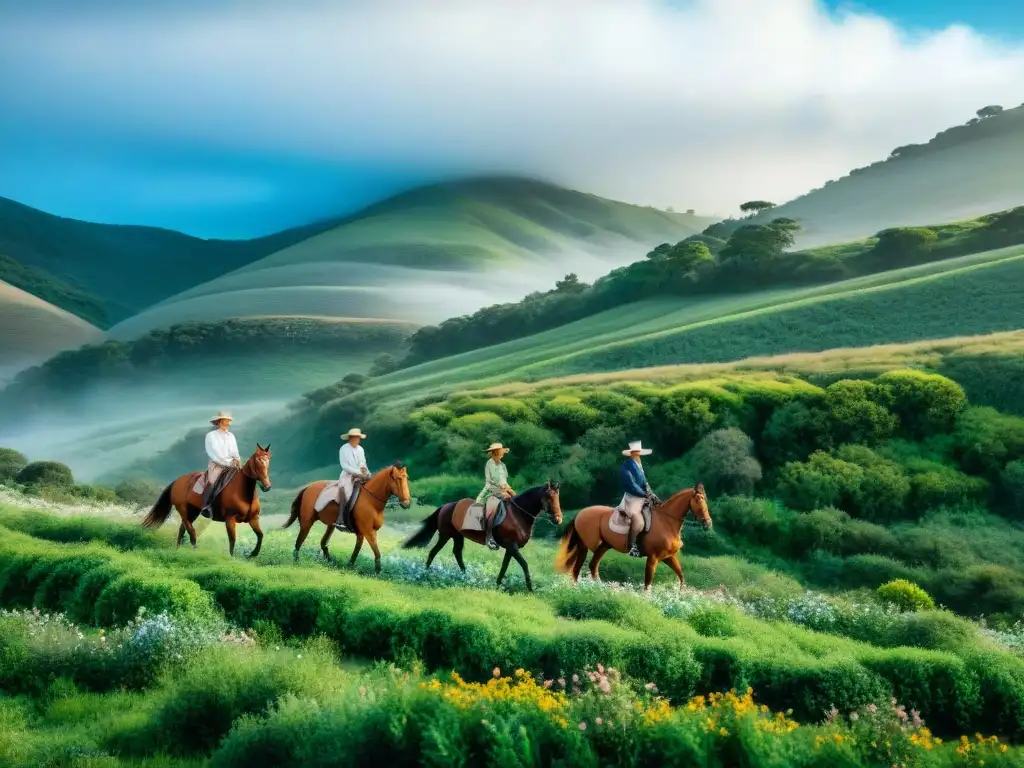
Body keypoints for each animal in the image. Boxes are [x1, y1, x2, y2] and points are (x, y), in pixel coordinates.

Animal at [144, 444, 274, 561]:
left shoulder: (253, 518)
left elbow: (260, 535)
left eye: (268, 460)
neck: (243, 492)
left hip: (193, 511)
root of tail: (177, 481)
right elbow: (232, 539)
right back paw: (194, 549)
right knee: (190, 529)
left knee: (182, 529)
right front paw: (232, 558)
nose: (266, 486)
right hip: (183, 509)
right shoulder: (230, 519)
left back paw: (178, 550)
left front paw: (252, 554)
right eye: (258, 461)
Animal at [399, 481, 561, 593]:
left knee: (457, 553)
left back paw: (465, 576)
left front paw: (498, 584)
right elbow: (525, 565)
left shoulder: (510, 548)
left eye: (557, 498)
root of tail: (446, 506)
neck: (518, 515)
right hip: (445, 535)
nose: (558, 519)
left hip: (457, 536)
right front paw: (530, 589)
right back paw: (424, 573)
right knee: (433, 552)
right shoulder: (512, 546)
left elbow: (504, 566)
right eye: (549, 497)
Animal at [557, 483, 708, 593]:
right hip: (585, 545)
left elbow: (681, 575)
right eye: (698, 500)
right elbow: (648, 583)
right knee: (578, 568)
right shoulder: (653, 558)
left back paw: (599, 588)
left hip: (603, 546)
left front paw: (682, 595)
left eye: (705, 499)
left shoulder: (669, 557)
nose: (707, 523)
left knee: (592, 566)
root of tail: (580, 513)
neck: (667, 521)